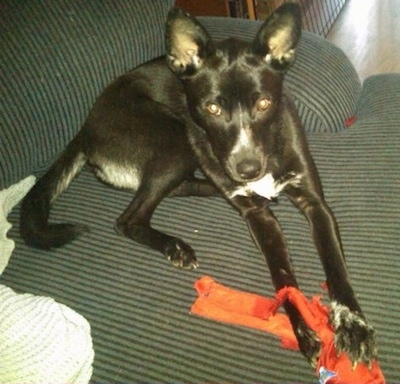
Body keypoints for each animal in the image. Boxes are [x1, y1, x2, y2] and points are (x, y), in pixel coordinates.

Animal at [20, 3, 378, 368]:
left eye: (264, 103)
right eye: (213, 107)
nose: (247, 169)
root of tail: (84, 128)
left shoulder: (315, 204)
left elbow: (334, 266)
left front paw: (353, 325)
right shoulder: (257, 215)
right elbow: (282, 278)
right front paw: (303, 330)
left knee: (176, 189)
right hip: (176, 137)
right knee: (129, 218)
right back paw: (176, 245)